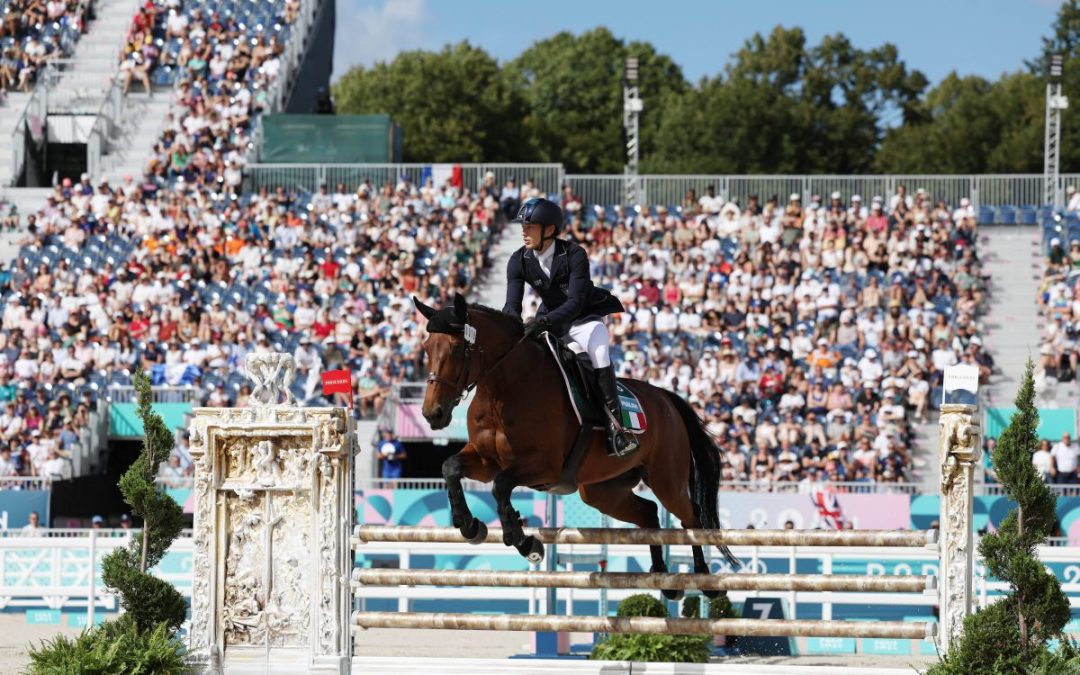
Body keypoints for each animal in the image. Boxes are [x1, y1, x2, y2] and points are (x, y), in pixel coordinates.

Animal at [408, 291, 738, 596]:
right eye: (426, 348)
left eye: (456, 349)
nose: (432, 414)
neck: (502, 390)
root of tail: (666, 398)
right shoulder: (486, 460)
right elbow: (451, 467)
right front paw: (469, 525)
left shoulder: (544, 467)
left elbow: (501, 486)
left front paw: (526, 542)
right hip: (602, 491)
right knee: (648, 512)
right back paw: (662, 577)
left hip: (666, 479)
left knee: (691, 517)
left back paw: (705, 580)